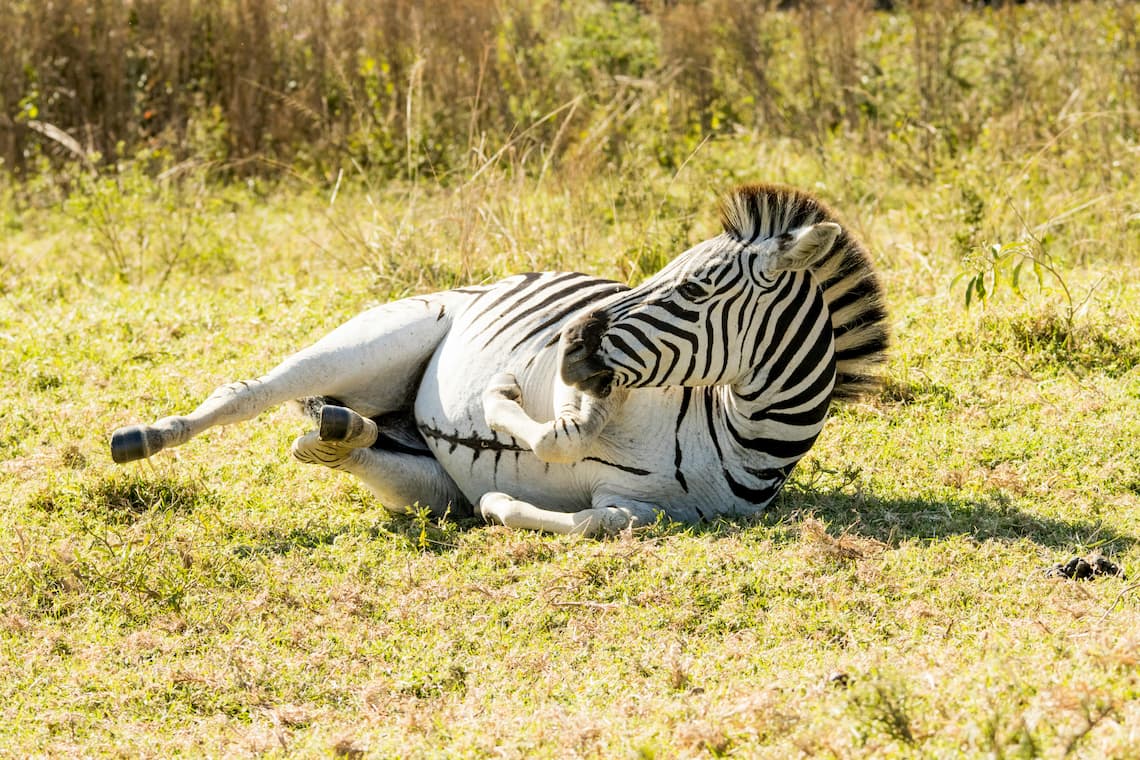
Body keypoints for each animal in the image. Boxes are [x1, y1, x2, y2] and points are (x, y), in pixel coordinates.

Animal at [109, 184, 888, 536]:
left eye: (695, 289)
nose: (571, 338)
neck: (735, 436)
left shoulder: (647, 511)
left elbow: (597, 518)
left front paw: (505, 499)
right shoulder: (590, 388)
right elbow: (563, 427)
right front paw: (504, 399)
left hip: (427, 483)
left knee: (336, 442)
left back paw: (339, 431)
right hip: (381, 334)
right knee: (248, 390)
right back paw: (145, 436)